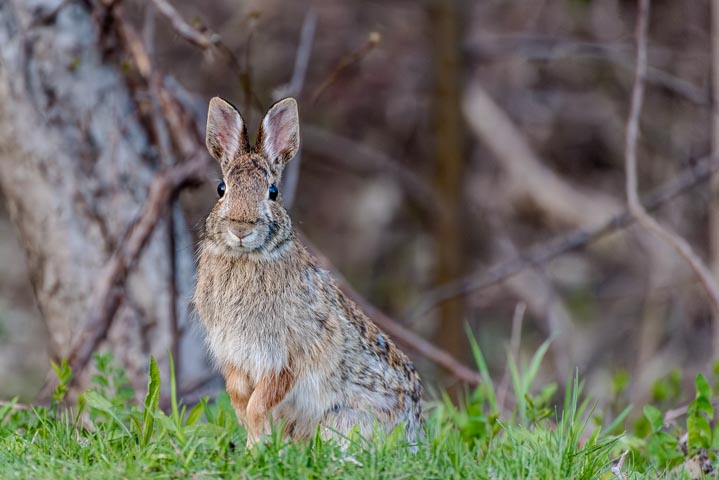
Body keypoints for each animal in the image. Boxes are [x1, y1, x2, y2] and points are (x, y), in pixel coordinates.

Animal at [193, 96, 423, 448]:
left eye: (273, 192)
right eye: (221, 188)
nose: (241, 228)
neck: (248, 257)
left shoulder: (287, 355)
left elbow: (259, 404)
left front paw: (256, 448)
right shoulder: (233, 354)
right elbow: (240, 400)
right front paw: (253, 445)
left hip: (345, 419)